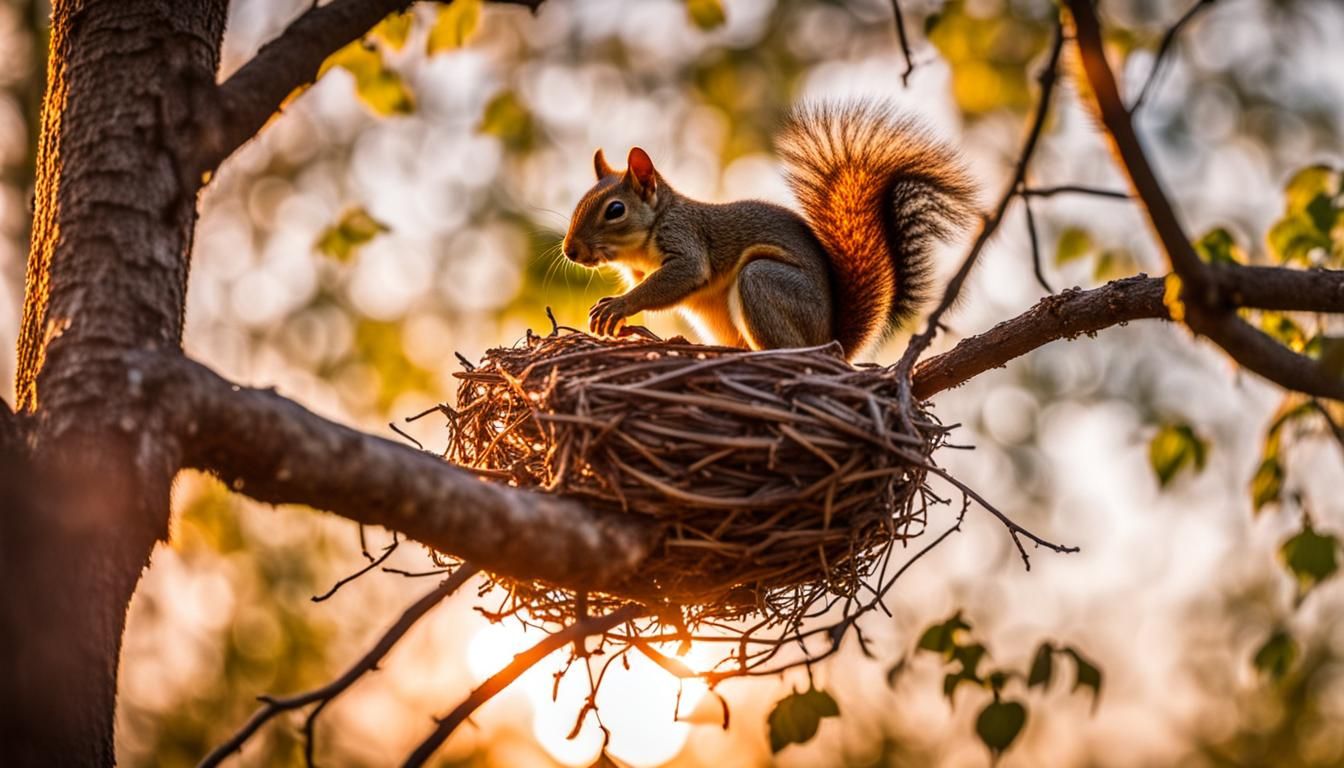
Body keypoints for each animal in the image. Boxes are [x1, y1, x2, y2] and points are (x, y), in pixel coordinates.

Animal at [561, 102, 978, 359]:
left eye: (615, 210)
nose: (570, 250)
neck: (642, 245)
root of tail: (831, 340)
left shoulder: (686, 236)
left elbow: (683, 273)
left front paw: (618, 306)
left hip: (763, 283)